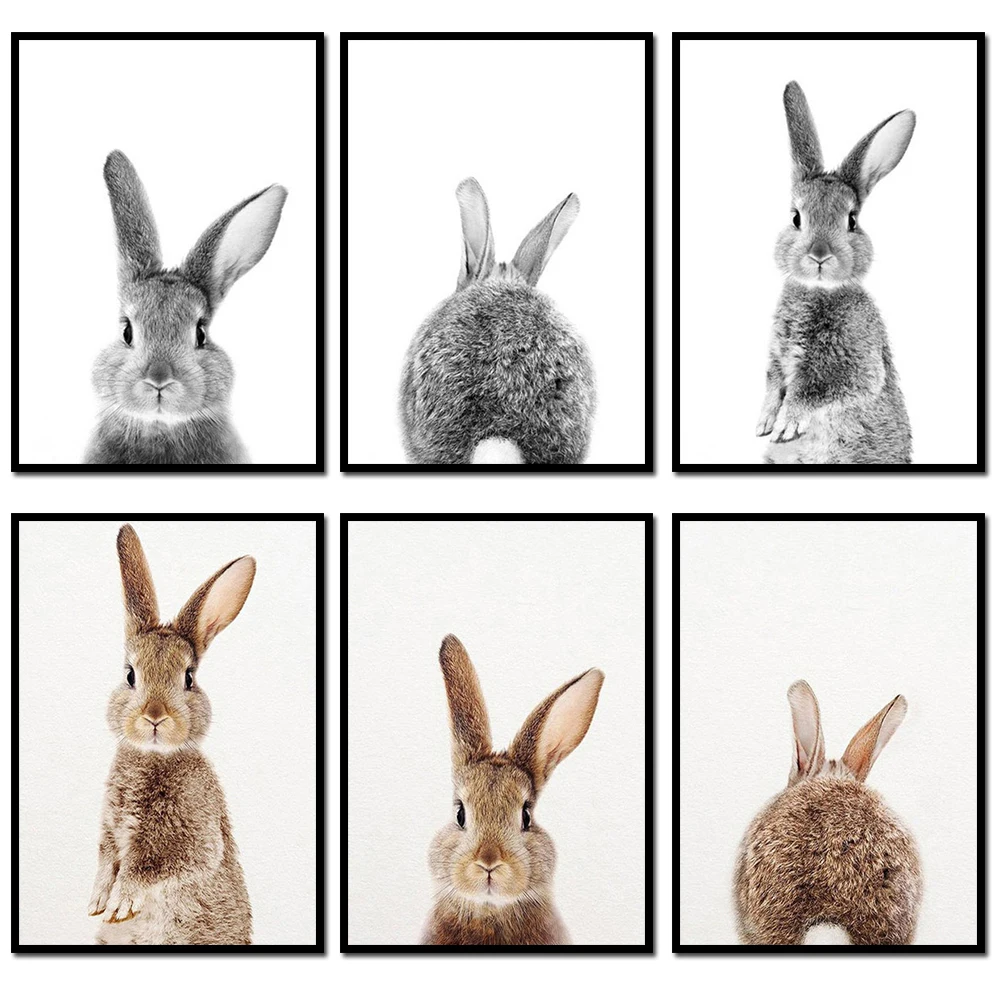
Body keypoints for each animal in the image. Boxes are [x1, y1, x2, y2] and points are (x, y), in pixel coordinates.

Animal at [88, 524, 255, 944]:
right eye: (130, 675)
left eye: (189, 678)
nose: (154, 716)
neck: (151, 756)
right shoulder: (109, 831)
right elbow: (106, 859)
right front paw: (97, 901)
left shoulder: (189, 839)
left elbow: (148, 866)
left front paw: (119, 903)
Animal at [758, 82, 915, 463]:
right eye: (796, 217)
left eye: (852, 221)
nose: (819, 255)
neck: (816, 290)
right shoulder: (776, 357)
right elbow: (773, 383)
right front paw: (765, 422)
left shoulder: (851, 365)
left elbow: (813, 392)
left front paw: (786, 423)